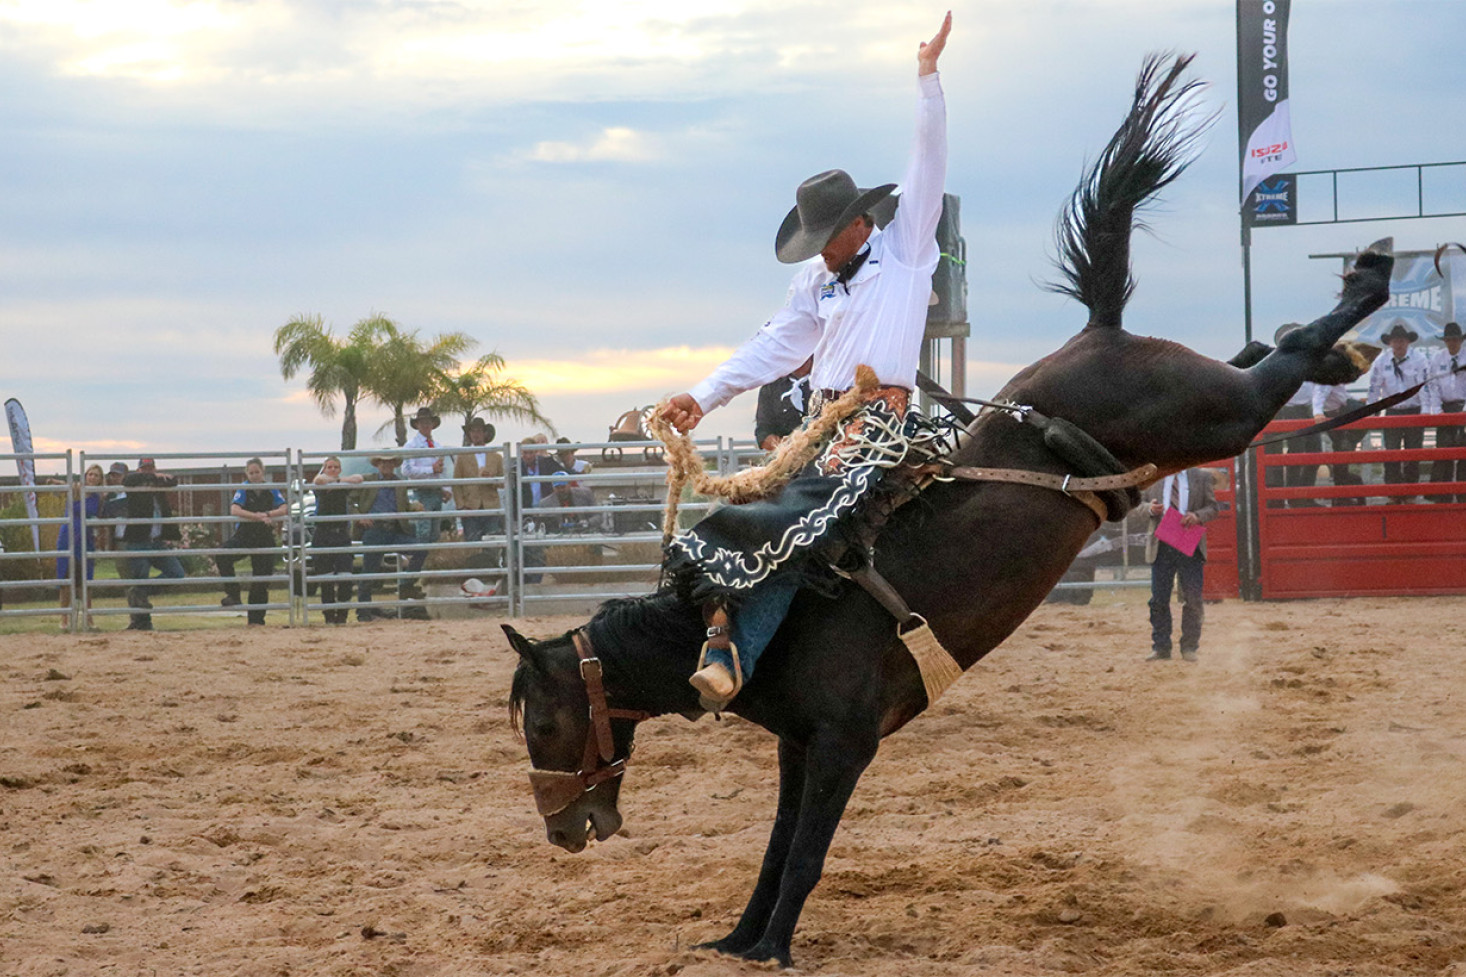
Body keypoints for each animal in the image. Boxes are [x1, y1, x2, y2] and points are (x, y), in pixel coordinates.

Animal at [501, 55, 1383, 968]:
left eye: (544, 722)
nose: (562, 829)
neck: (756, 624)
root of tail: (1098, 331)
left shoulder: (843, 744)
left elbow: (806, 852)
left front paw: (775, 945)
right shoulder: (797, 744)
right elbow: (776, 846)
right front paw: (740, 937)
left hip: (1210, 414)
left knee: (1274, 366)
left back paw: (1368, 284)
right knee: (1265, 350)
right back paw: (1346, 344)